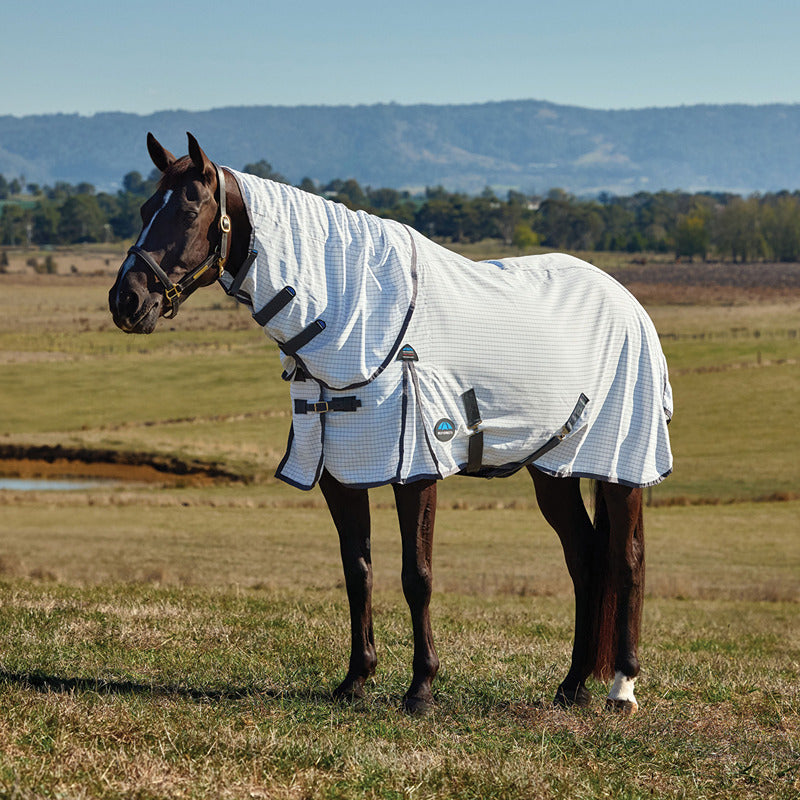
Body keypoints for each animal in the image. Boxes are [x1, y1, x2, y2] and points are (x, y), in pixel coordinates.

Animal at [109, 132, 673, 715]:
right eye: (146, 209)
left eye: (189, 208)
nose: (126, 300)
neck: (352, 315)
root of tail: (628, 303)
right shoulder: (338, 470)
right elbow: (358, 571)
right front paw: (356, 679)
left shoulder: (416, 468)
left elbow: (416, 575)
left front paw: (421, 687)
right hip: (551, 469)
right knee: (584, 558)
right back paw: (572, 685)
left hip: (621, 466)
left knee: (627, 560)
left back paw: (621, 688)